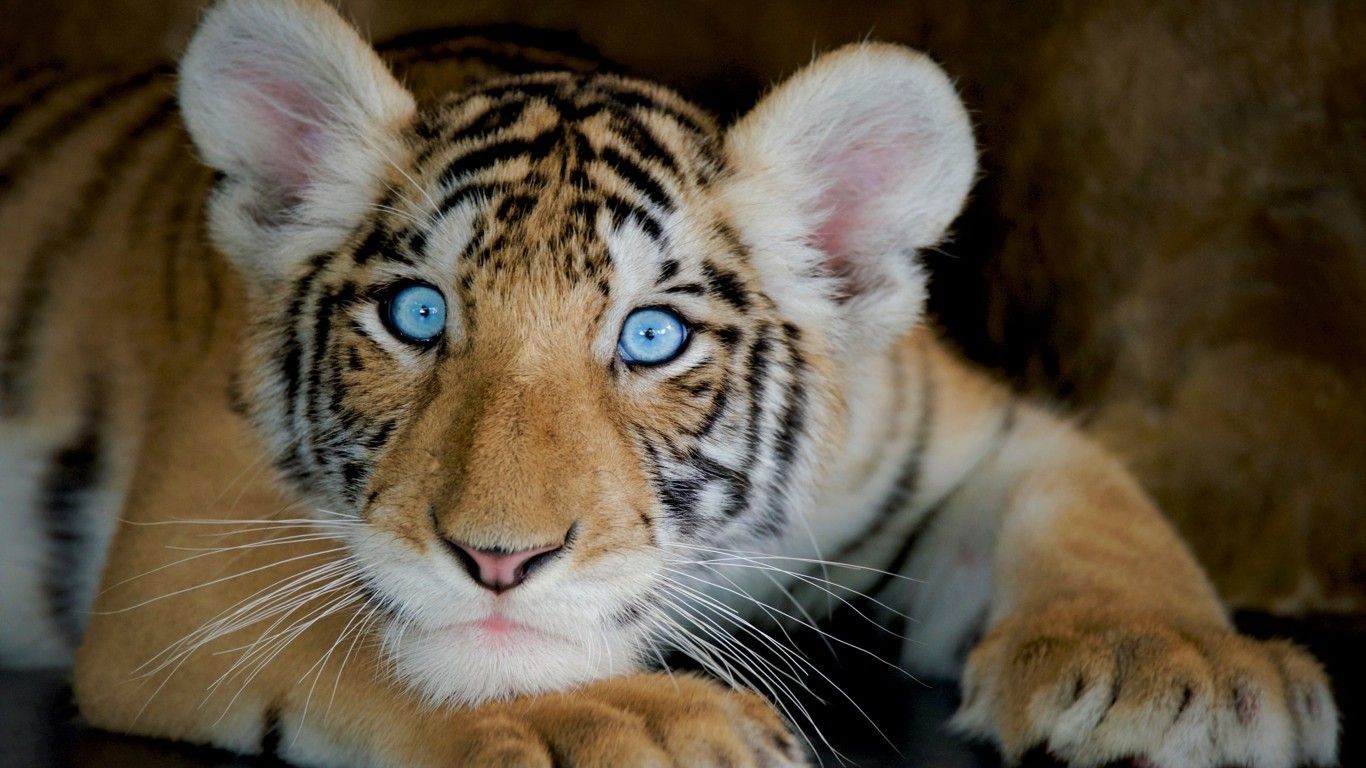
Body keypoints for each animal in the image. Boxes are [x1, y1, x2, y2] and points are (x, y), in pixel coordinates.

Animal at [0, 0, 1341, 766]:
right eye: (418, 314)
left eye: (649, 338)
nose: (498, 558)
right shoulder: (184, 553)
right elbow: (390, 637)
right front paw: (626, 720)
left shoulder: (979, 434)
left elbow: (1107, 519)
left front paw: (1180, 670)